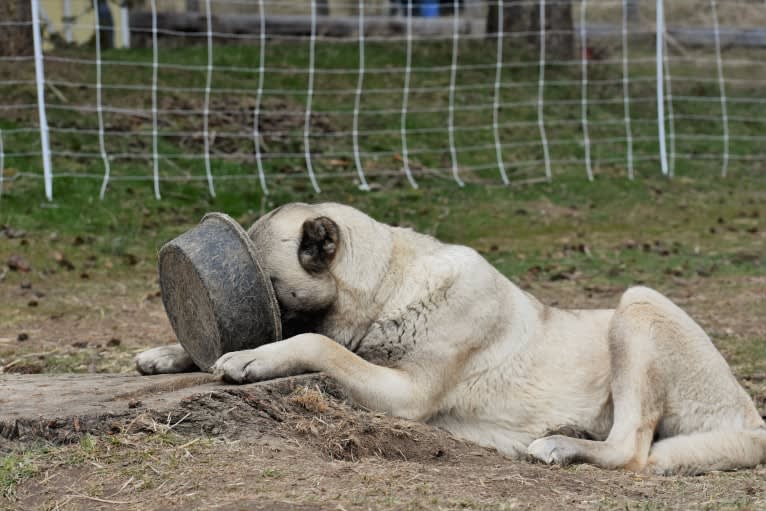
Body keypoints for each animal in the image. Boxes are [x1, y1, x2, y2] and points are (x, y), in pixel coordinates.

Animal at [135, 203, 764, 476]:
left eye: (264, 280)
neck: (389, 286)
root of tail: (749, 415)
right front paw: (168, 352)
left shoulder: (405, 393)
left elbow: (318, 345)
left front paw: (248, 358)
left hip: (638, 303)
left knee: (633, 448)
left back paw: (563, 446)